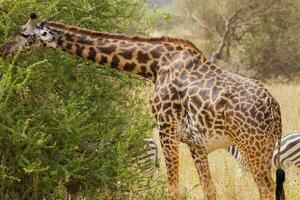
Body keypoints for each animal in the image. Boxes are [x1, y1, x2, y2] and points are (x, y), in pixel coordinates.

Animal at [0, 13, 286, 199]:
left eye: (24, 34)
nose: (4, 49)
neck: (153, 66)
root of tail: (275, 110)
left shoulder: (166, 129)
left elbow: (173, 188)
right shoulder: (194, 142)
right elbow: (209, 189)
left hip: (252, 146)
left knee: (265, 187)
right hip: (264, 147)